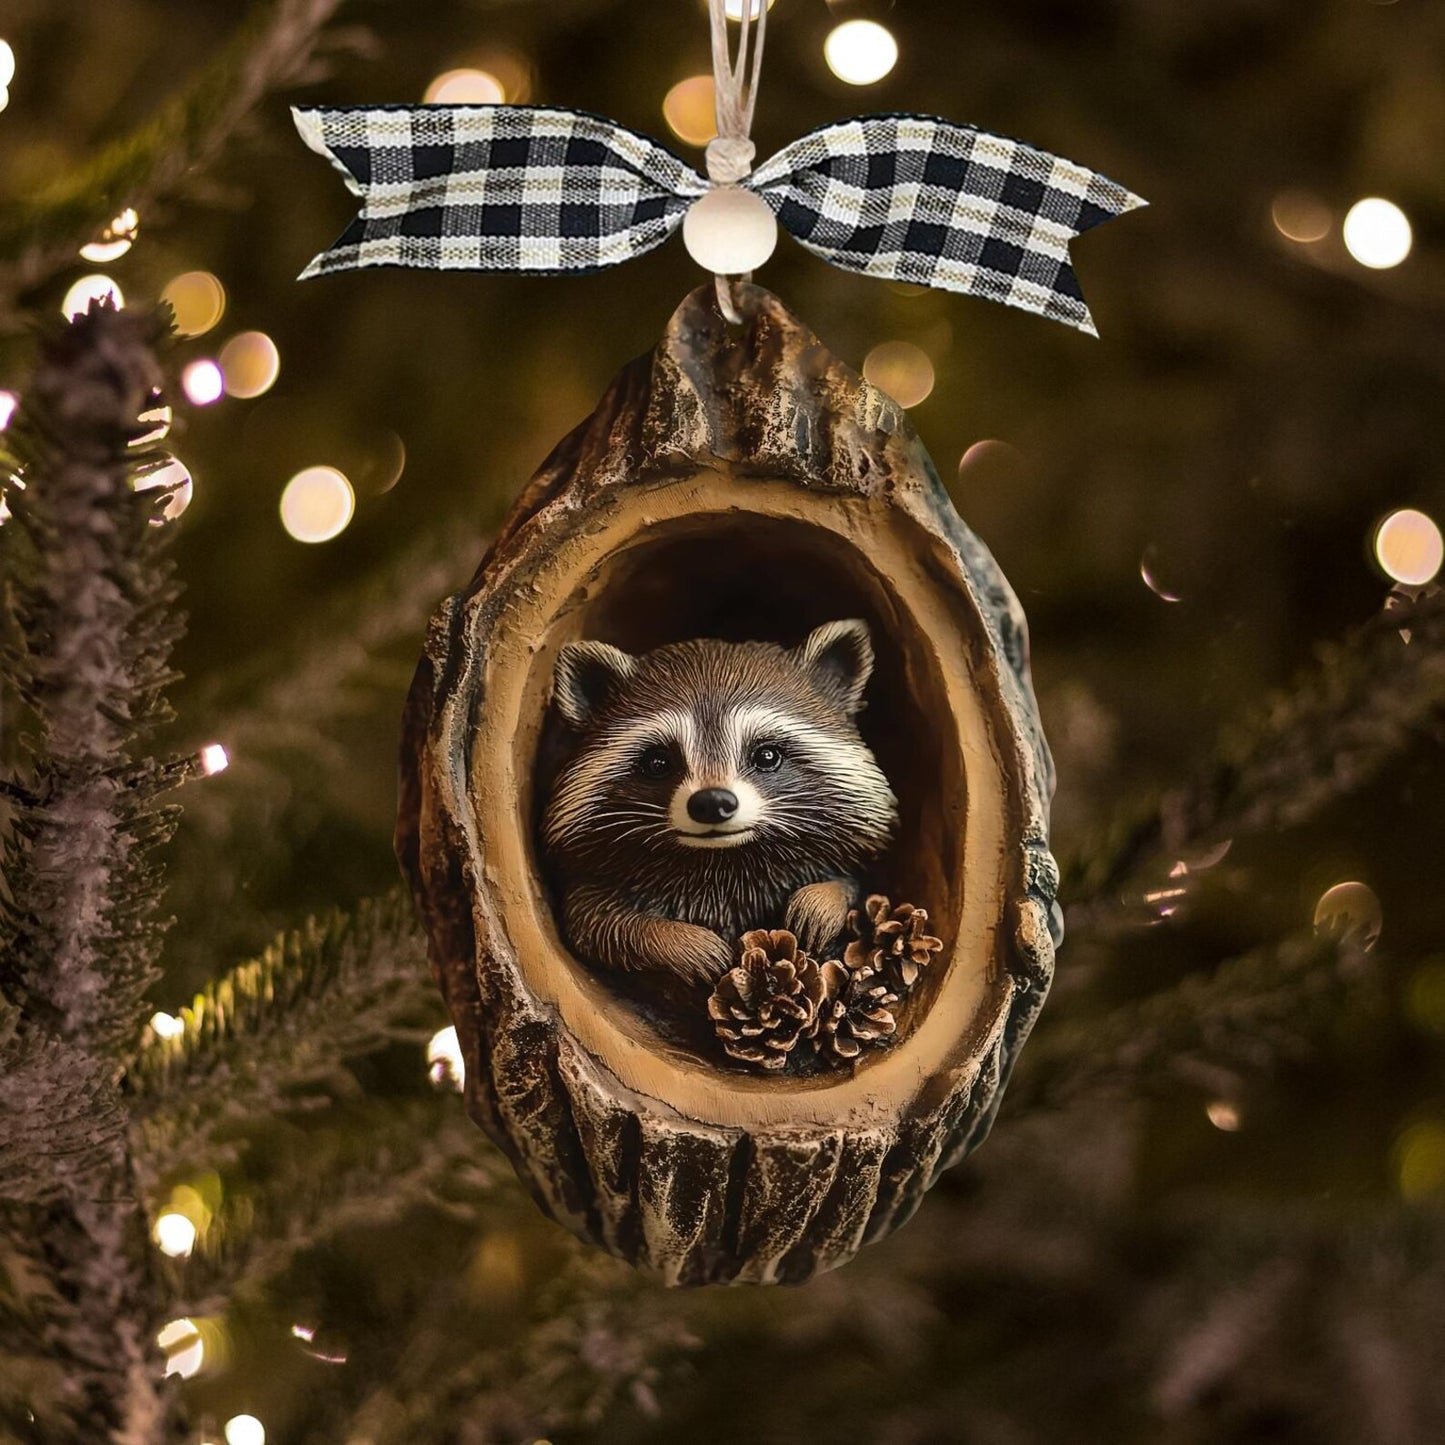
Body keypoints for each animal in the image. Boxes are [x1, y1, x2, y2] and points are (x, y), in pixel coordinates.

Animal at [542, 619, 899, 987]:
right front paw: (679, 942)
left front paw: (821, 900)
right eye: (658, 762)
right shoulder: (592, 882)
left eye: (766, 755)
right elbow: (597, 925)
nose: (712, 802)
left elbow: (855, 884)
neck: (723, 861)